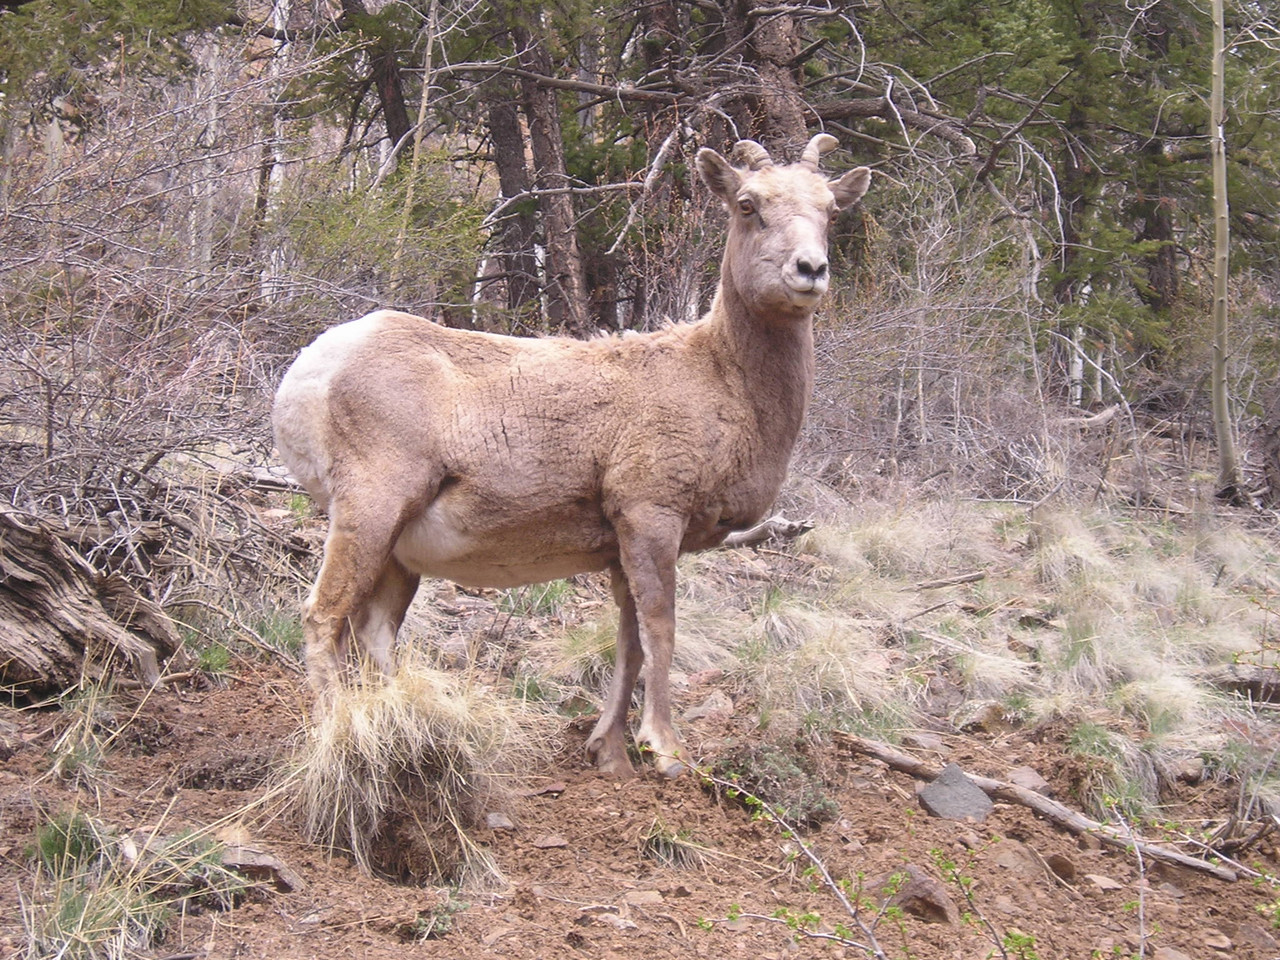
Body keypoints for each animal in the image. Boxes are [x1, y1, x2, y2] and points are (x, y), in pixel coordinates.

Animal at [270, 136, 870, 783]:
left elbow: (628, 642)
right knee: (321, 617)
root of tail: (309, 371)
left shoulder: (621, 547)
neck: (719, 378)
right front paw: (666, 750)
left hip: (399, 555)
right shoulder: (651, 516)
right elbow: (661, 630)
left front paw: (610, 755)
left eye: (832, 210)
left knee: (373, 635)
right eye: (747, 204)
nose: (810, 270)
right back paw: (336, 735)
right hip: (370, 512)